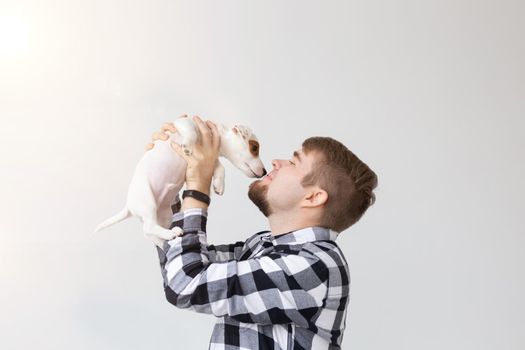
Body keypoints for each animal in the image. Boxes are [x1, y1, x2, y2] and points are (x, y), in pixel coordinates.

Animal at [93, 116, 266, 247]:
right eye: (255, 147)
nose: (264, 172)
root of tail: (129, 206)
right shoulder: (184, 123)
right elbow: (191, 132)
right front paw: (187, 145)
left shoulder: (211, 158)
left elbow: (221, 168)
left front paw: (219, 185)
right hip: (147, 199)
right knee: (148, 227)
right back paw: (171, 234)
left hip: (163, 213)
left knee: (149, 232)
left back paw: (166, 241)